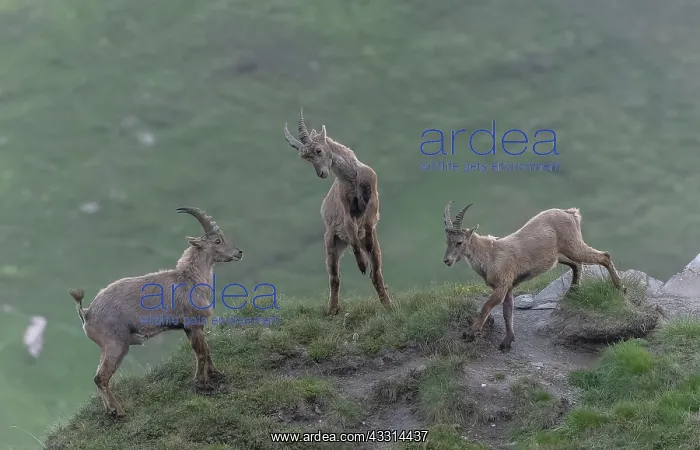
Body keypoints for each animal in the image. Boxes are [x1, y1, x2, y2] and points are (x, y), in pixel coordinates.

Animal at [68, 207, 242, 417]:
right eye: (217, 241)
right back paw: (119, 411)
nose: (239, 252)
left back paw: (110, 410)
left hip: (107, 346)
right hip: (116, 344)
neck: (190, 279)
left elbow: (206, 351)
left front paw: (215, 374)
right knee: (101, 377)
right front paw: (202, 383)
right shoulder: (193, 324)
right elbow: (200, 353)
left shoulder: (191, 328)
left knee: (98, 377)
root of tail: (87, 313)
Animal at [284, 110, 391, 315]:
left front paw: (367, 244)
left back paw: (389, 306)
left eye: (318, 150)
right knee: (335, 278)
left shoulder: (372, 194)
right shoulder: (347, 208)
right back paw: (332, 310)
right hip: (332, 243)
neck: (351, 177)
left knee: (376, 274)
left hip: (373, 250)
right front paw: (361, 264)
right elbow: (353, 234)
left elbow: (369, 220)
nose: (322, 174)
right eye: (306, 158)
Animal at [442, 202, 625, 351]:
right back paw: (573, 291)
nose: (446, 260)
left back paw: (620, 287)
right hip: (560, 255)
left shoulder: (502, 285)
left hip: (574, 246)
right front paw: (507, 341)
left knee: (604, 256)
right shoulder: (509, 286)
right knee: (577, 264)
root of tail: (571, 213)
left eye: (459, 242)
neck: (490, 255)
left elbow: (486, 308)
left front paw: (470, 334)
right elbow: (507, 313)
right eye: (447, 241)